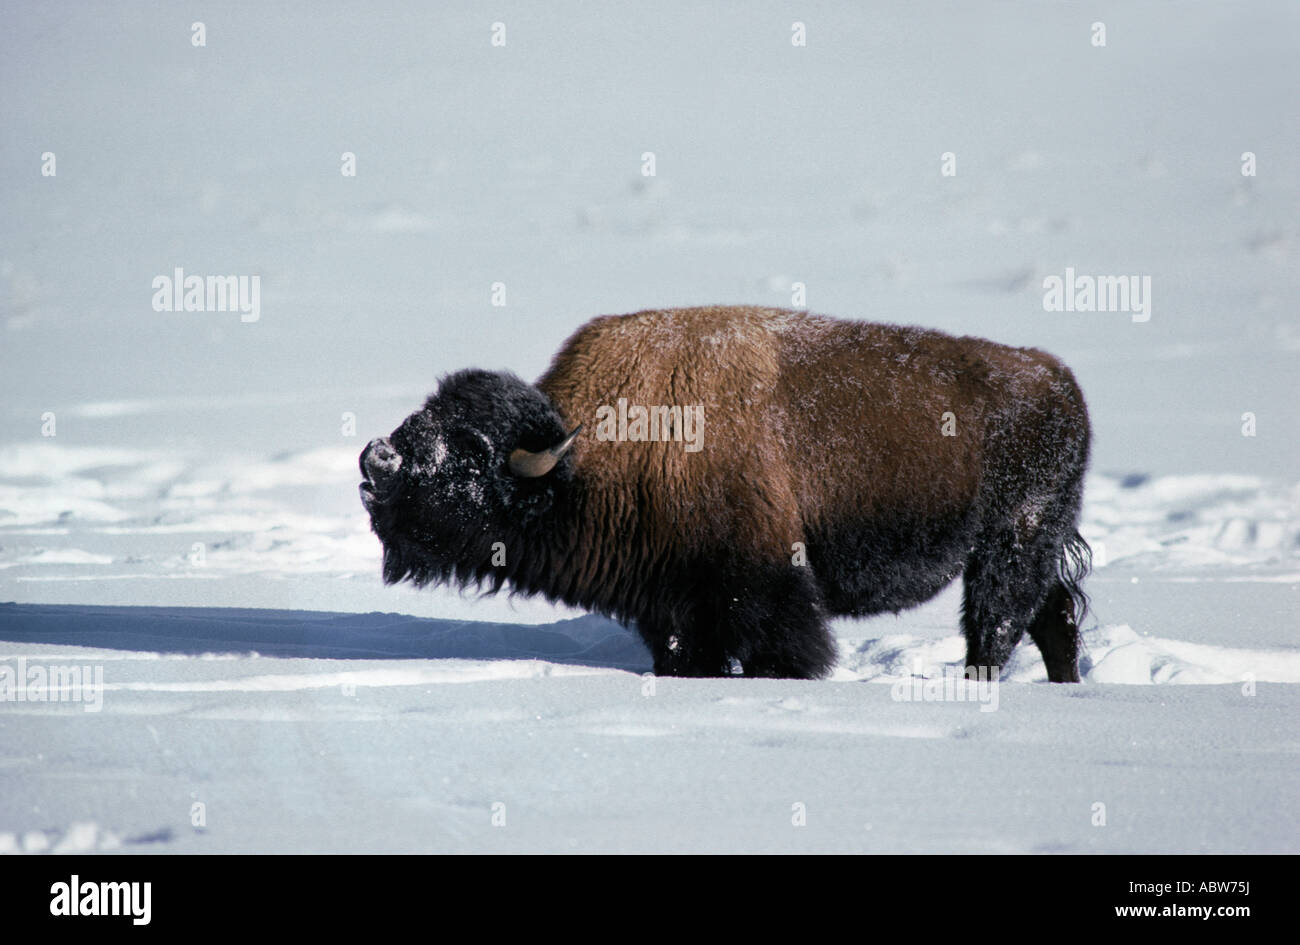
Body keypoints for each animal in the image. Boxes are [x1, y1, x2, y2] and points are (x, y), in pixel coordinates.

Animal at [358, 306, 1086, 686]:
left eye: (468, 448)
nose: (375, 459)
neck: (578, 460)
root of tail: (1057, 378)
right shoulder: (674, 606)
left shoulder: (761, 585)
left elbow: (786, 649)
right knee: (1052, 618)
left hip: (1008, 544)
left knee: (998, 622)